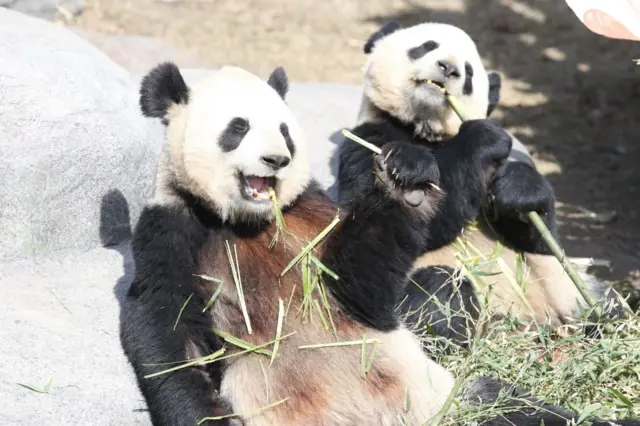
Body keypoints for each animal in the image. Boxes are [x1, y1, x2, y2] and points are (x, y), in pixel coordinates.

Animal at [117, 60, 636, 426]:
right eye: (238, 127)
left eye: (285, 131)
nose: (276, 160)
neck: (251, 223)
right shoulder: (172, 228)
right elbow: (169, 332)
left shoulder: (312, 213)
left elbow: (359, 284)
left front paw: (406, 175)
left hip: (446, 399)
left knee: (524, 411)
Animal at [338, 20, 628, 350]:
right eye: (426, 46)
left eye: (469, 73)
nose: (449, 68)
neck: (426, 131)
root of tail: (527, 329)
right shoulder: (369, 139)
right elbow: (404, 222)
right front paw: (422, 162)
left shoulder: (493, 174)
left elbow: (537, 237)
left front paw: (519, 190)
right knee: (439, 295)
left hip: (564, 290)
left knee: (605, 300)